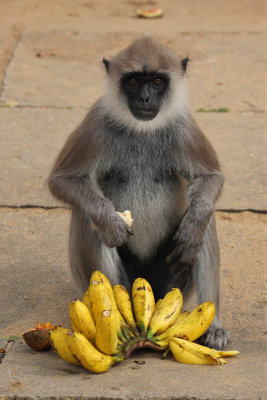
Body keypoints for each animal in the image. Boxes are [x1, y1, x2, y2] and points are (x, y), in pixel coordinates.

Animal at [49, 35, 231, 350]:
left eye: (157, 81)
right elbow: (63, 180)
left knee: (203, 217)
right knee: (88, 219)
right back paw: (116, 323)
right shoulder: (96, 122)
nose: (145, 99)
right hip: (115, 281)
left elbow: (209, 178)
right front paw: (110, 223)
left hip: (169, 286)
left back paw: (212, 325)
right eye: (133, 82)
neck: (142, 129)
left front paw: (194, 226)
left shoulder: (184, 125)